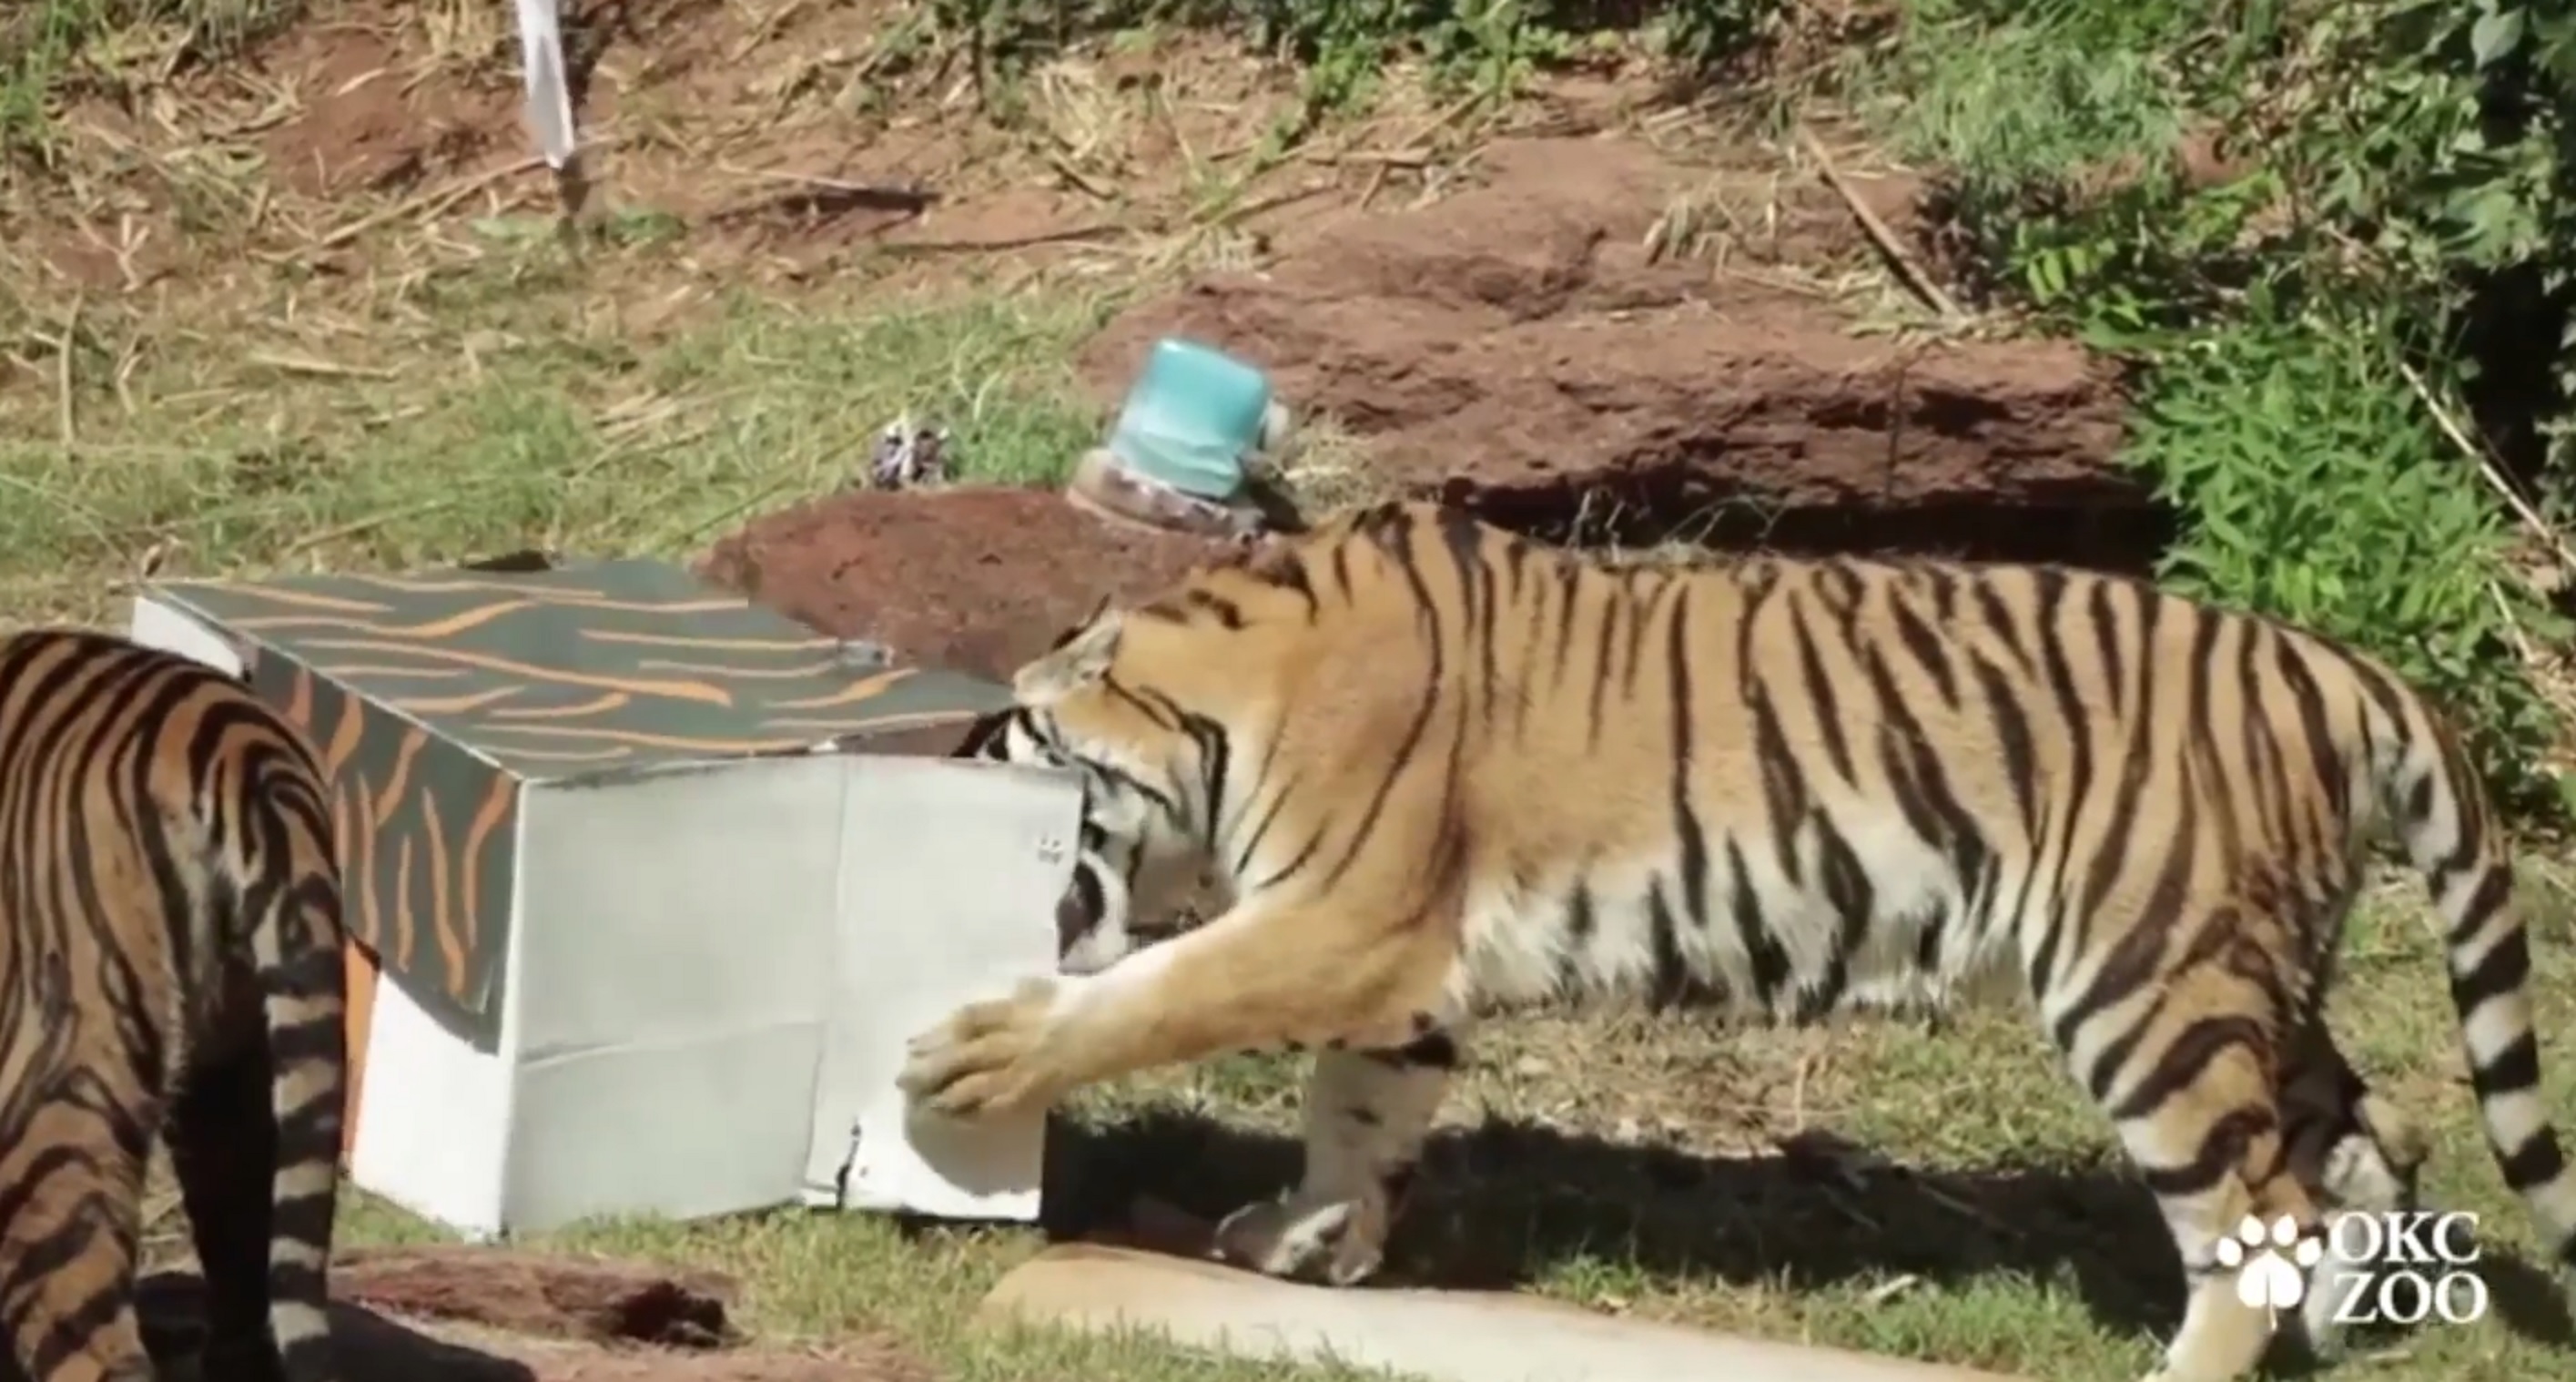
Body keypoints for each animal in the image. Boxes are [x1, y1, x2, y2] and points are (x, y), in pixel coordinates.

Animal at [907, 500, 2576, 1382]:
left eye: (1004, 742)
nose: (965, 754)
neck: (1224, 687)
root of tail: (2336, 664)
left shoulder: (1343, 919)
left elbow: (1151, 992)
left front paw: (979, 1053)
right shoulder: (1396, 972)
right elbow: (1359, 1115)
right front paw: (1305, 1245)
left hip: (2148, 983)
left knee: (2253, 1208)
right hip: (2244, 972)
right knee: (2374, 1139)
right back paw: (2347, 1325)